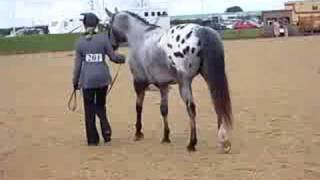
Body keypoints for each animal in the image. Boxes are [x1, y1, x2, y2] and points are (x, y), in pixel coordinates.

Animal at [106, 8, 234, 152]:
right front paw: (166, 137)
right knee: (216, 103)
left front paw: (138, 133)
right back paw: (224, 141)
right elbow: (163, 109)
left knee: (191, 108)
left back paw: (192, 143)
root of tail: (201, 30)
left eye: (108, 25)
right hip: (208, 78)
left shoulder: (139, 83)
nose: (112, 45)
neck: (140, 37)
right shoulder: (163, 85)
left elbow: (138, 107)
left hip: (184, 82)